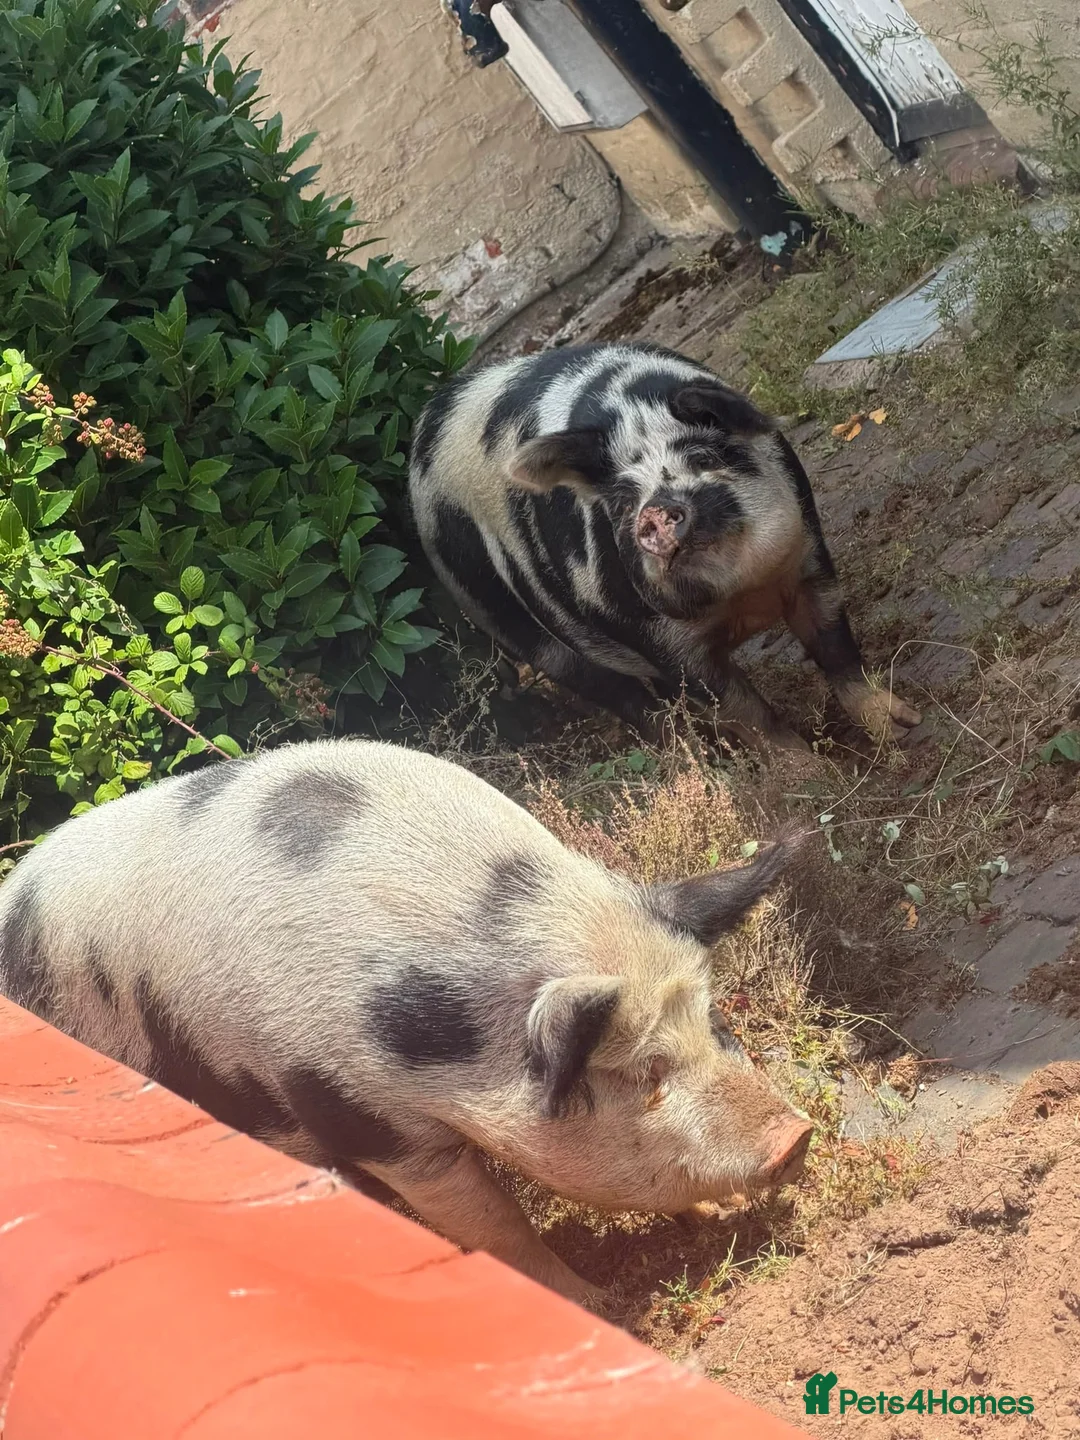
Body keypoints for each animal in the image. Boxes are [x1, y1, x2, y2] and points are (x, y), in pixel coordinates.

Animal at [0, 739, 812, 1306]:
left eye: (715, 1023)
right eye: (645, 1073)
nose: (796, 1135)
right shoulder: (369, 1119)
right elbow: (494, 1225)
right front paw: (597, 1300)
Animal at [408, 341, 921, 750]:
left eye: (703, 457)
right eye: (621, 500)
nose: (653, 512)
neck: (742, 595)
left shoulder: (809, 556)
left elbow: (836, 649)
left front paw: (904, 729)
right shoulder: (662, 642)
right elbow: (749, 714)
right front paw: (808, 775)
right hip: (514, 628)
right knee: (626, 700)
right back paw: (694, 758)